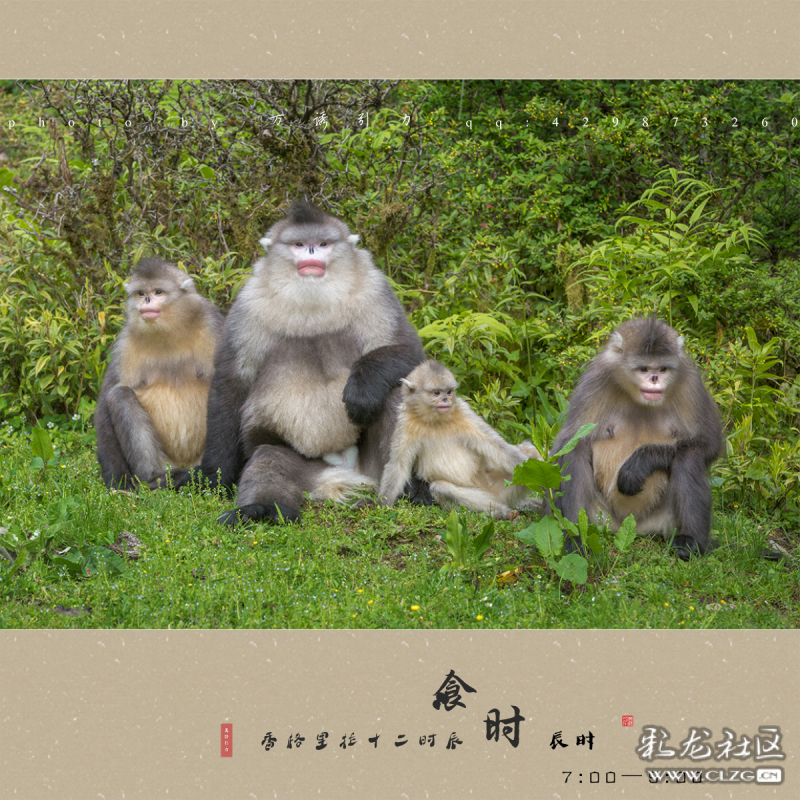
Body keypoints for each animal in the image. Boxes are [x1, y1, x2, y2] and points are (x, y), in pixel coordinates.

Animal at [94, 258, 224, 490]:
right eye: (141, 293)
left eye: (158, 292)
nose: (146, 300)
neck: (169, 332)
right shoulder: (125, 345)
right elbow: (104, 406)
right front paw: (119, 481)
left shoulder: (213, 327)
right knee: (119, 395)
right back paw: (156, 477)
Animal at [191, 200, 426, 526]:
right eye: (300, 244)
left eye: (323, 244)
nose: (312, 252)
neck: (313, 305)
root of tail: (344, 469)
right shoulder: (247, 308)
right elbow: (231, 382)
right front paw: (214, 476)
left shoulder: (376, 291)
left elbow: (410, 351)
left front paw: (362, 388)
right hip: (301, 464)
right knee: (269, 457)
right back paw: (262, 509)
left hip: (378, 468)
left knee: (392, 394)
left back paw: (411, 490)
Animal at [379, 360, 542, 519]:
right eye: (437, 393)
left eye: (449, 392)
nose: (445, 399)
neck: (435, 421)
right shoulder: (405, 421)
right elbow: (398, 465)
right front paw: (382, 507)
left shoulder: (463, 411)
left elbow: (499, 448)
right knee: (440, 488)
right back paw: (501, 512)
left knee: (528, 454)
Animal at [551, 317, 725, 560]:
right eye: (644, 369)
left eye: (662, 368)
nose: (654, 379)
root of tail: (633, 526)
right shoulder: (596, 379)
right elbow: (568, 443)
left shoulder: (690, 382)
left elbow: (708, 444)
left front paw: (638, 465)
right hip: (600, 519)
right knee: (577, 452)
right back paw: (576, 537)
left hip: (664, 520)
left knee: (687, 458)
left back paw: (691, 542)